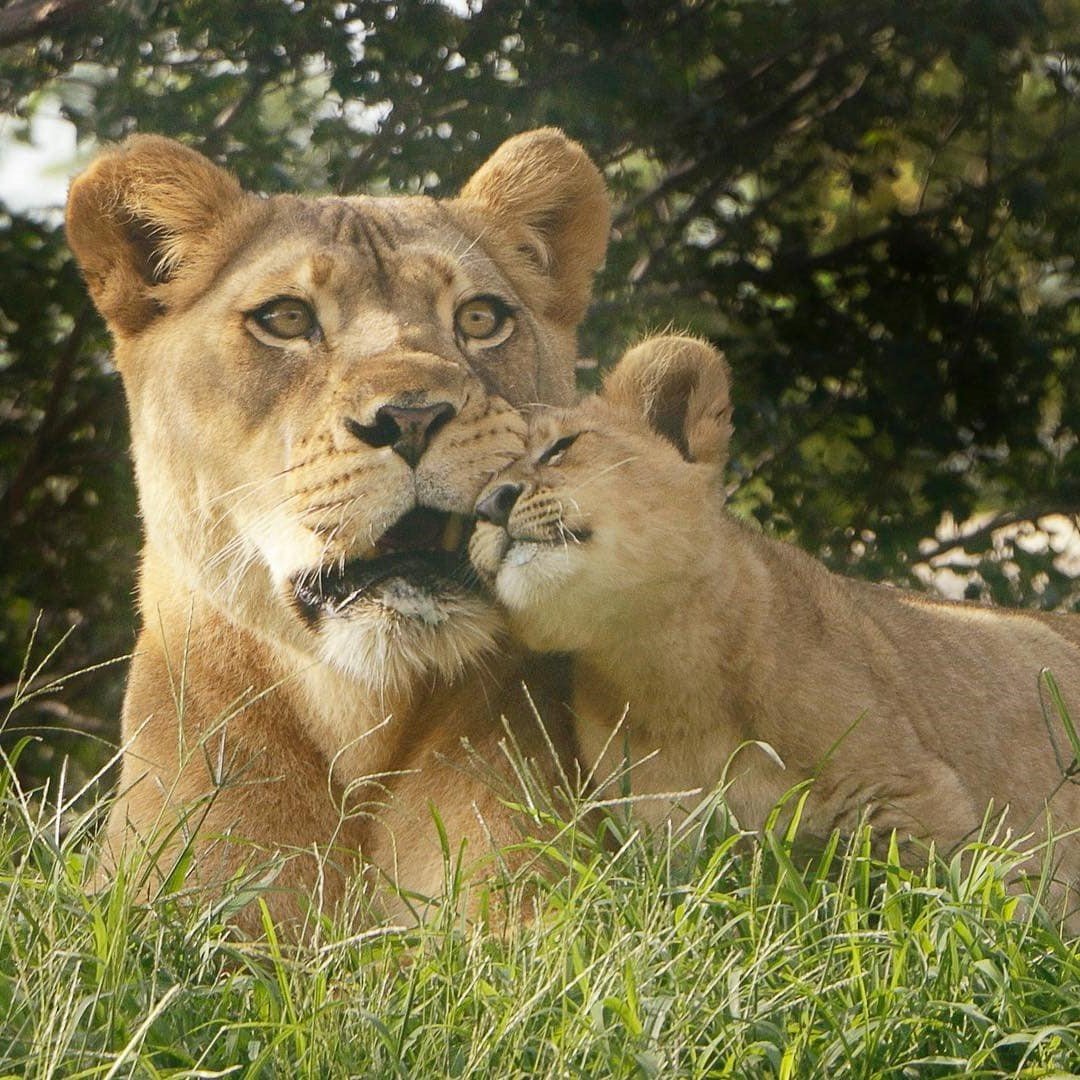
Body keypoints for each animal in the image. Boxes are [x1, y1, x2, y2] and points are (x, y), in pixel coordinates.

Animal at [470, 336, 1080, 924]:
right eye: (479, 487)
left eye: (560, 448)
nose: (490, 504)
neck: (663, 668)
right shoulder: (666, 841)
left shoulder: (913, 795)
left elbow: (951, 905)